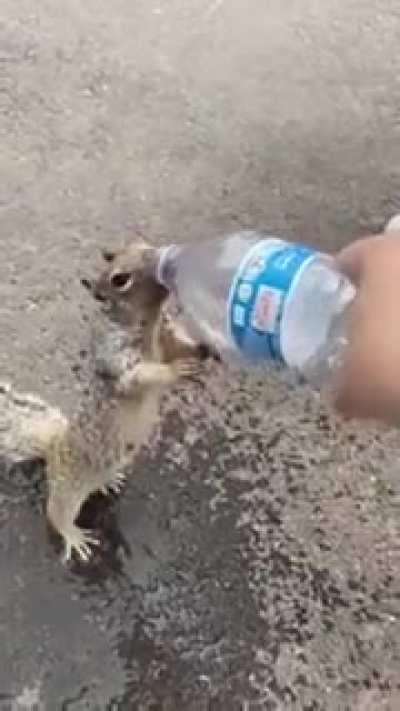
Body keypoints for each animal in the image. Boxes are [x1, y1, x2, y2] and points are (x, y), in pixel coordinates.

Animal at [1, 239, 210, 562]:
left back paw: (109, 482)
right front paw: (175, 371)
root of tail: (53, 449)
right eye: (120, 279)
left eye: (142, 245)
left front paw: (201, 350)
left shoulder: (164, 338)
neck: (147, 326)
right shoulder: (116, 359)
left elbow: (175, 347)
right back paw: (74, 536)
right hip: (69, 487)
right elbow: (140, 377)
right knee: (56, 513)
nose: (163, 259)